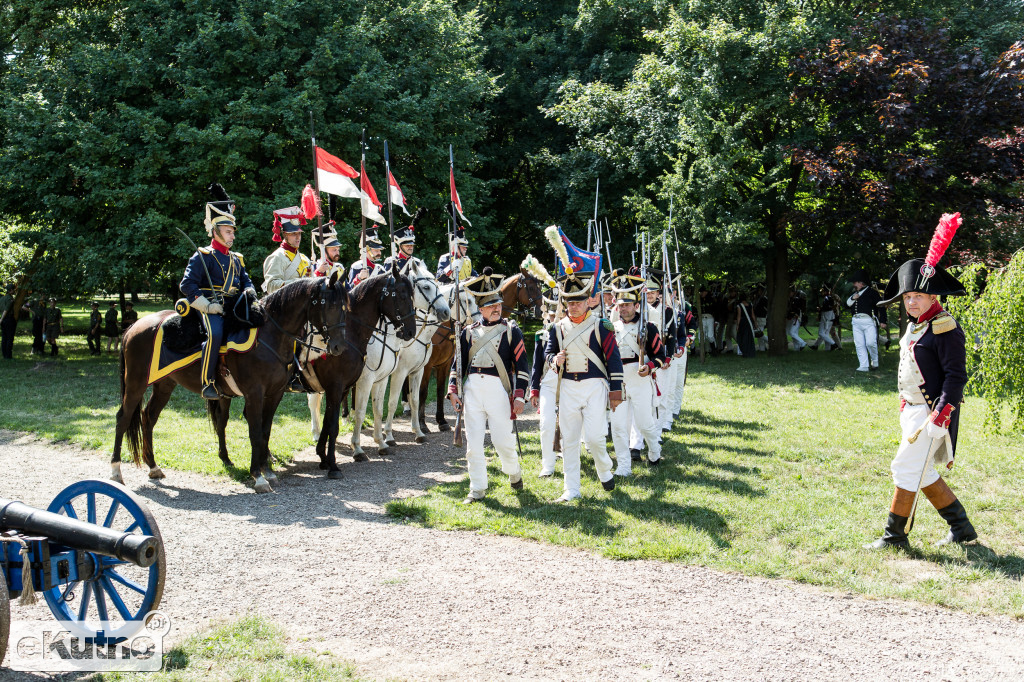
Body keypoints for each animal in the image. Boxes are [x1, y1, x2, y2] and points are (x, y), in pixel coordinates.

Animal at [111, 270, 350, 489]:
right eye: (329, 304)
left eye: (344, 307)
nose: (339, 346)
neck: (270, 335)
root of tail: (133, 327)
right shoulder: (254, 394)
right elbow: (254, 431)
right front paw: (258, 475)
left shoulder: (275, 394)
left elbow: (265, 430)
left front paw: (267, 470)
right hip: (136, 383)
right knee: (123, 417)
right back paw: (116, 471)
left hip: (164, 385)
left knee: (148, 417)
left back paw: (153, 466)